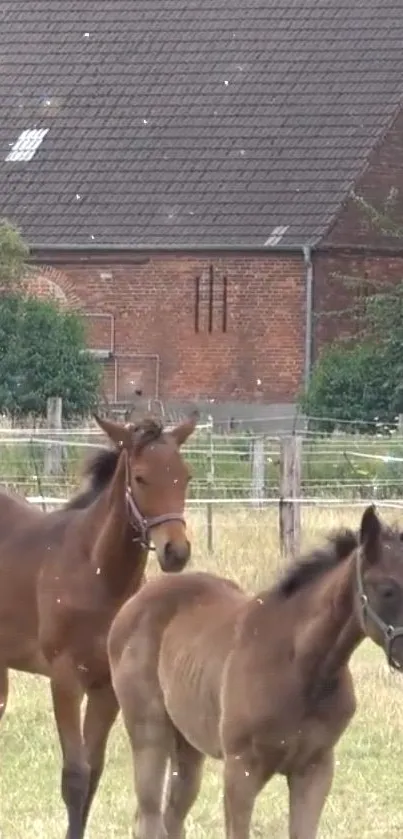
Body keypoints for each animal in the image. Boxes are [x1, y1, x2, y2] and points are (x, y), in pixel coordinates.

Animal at [0, 412, 197, 839]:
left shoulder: (107, 687)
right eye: (140, 477)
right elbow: (74, 775)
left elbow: (93, 773)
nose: (176, 551)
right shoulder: (65, 679)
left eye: (185, 476)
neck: (96, 572)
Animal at [108, 506, 403, 839]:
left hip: (188, 742)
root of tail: (135, 600)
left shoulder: (315, 768)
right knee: (148, 819)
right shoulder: (241, 770)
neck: (301, 668)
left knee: (173, 818)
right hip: (149, 730)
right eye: (388, 590)